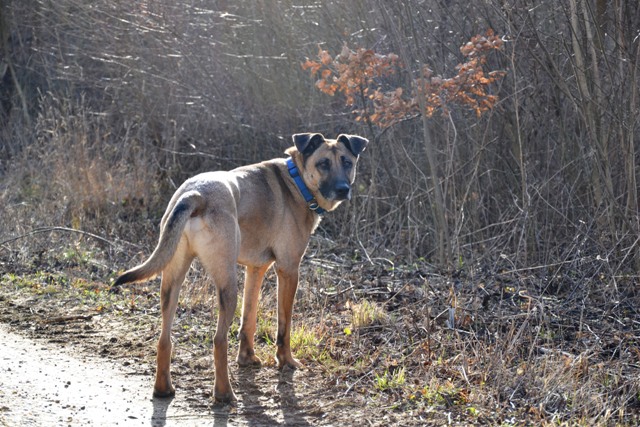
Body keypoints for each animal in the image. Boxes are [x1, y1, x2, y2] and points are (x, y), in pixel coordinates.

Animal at [112, 132, 368, 402]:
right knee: (218, 340)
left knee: (164, 339)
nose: (343, 189)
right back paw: (224, 394)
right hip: (227, 284)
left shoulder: (256, 269)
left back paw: (163, 388)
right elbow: (284, 326)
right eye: (323, 163)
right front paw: (286, 361)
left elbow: (249, 318)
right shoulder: (288, 270)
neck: (296, 179)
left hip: (172, 278)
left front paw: (247, 358)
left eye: (347, 162)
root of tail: (195, 195)